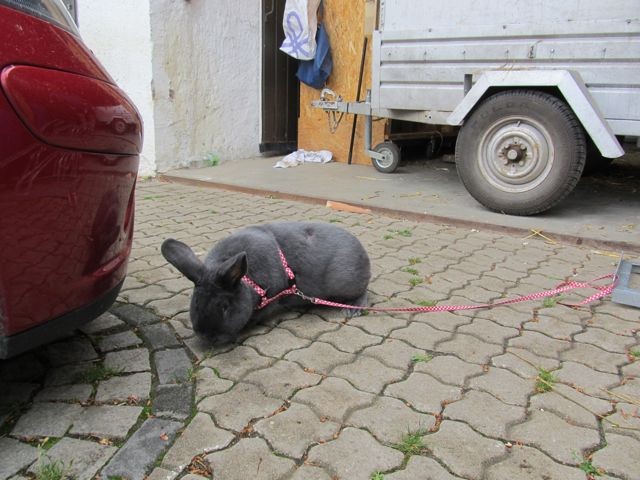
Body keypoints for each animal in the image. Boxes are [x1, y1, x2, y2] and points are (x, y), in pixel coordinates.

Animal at [160, 220, 370, 342]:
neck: (248, 281)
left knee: (364, 293)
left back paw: (352, 310)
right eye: (194, 302)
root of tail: (362, 253)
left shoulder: (274, 296)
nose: (206, 337)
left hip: (348, 284)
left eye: (225, 307)